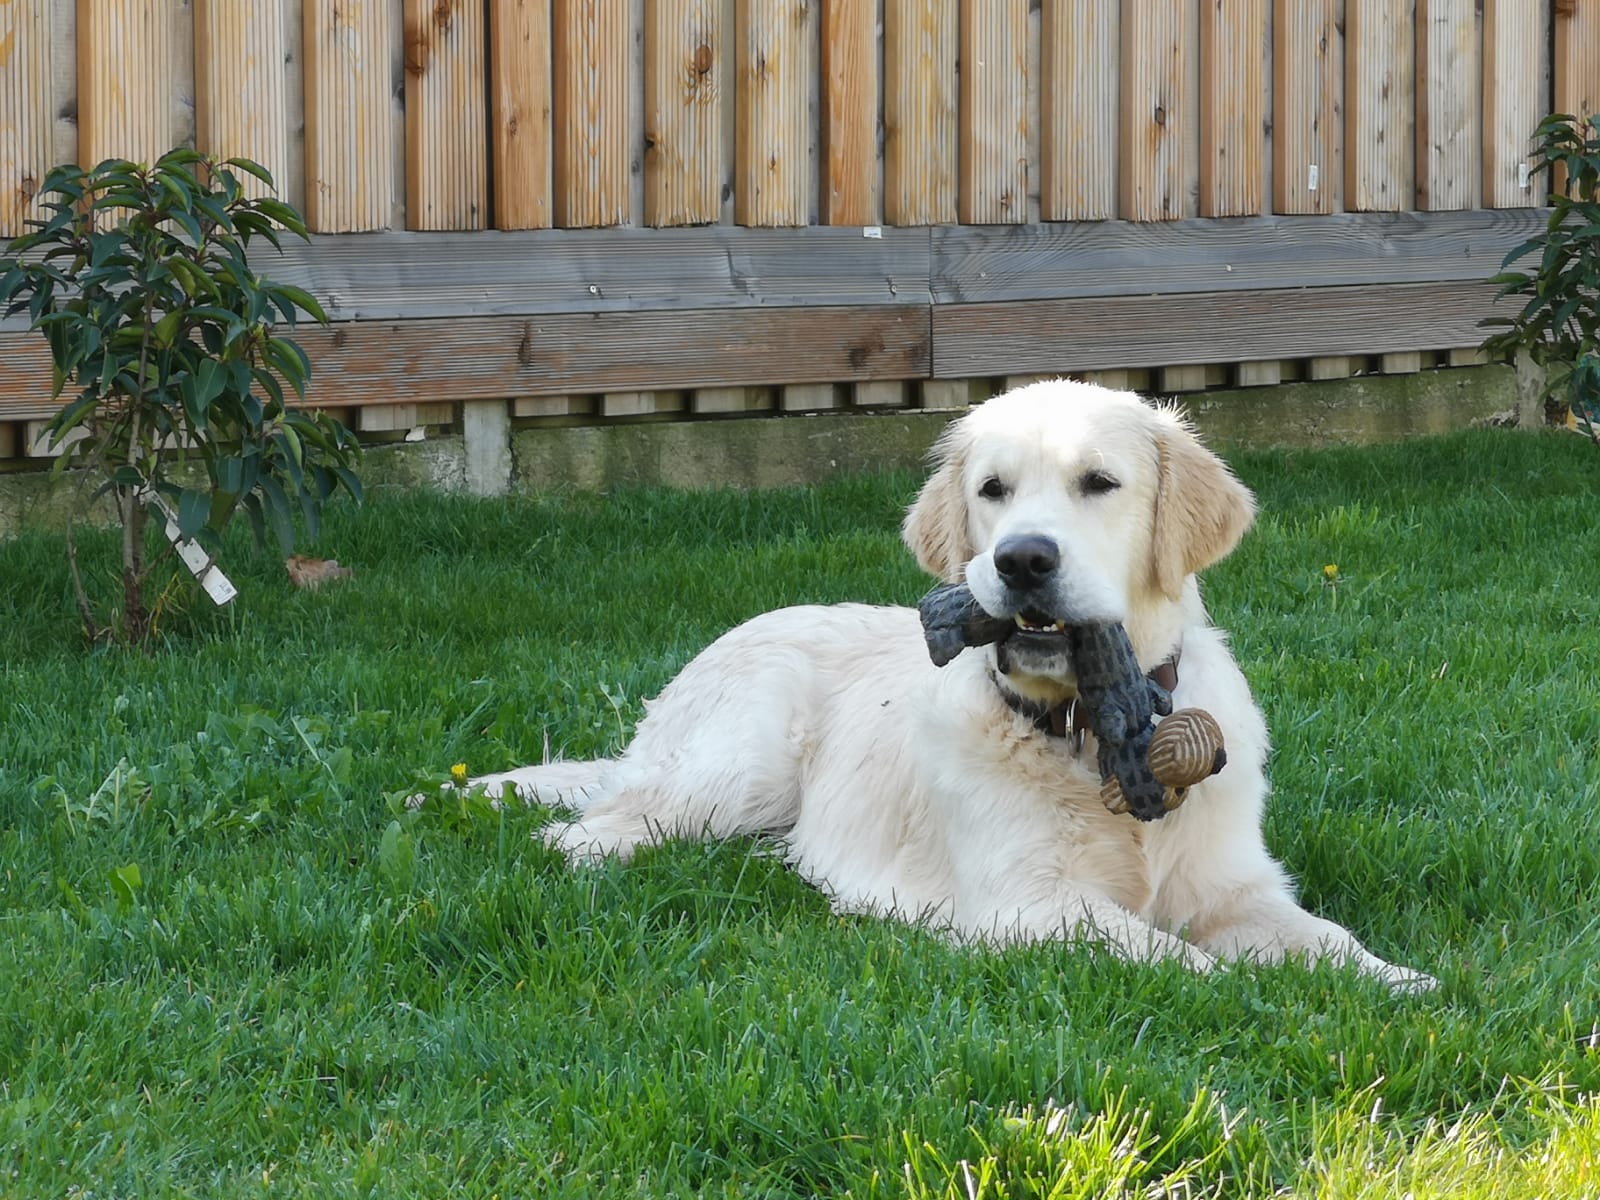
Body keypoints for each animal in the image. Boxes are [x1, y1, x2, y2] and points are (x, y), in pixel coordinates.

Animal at [467, 385, 1433, 998]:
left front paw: (1408, 985)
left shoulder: (1236, 885)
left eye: (1100, 483)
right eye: (992, 490)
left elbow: (1328, 942)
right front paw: (1256, 992)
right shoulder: (1032, 908)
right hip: (737, 767)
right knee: (589, 829)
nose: (1023, 559)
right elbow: (1187, 963)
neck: (1097, 732)